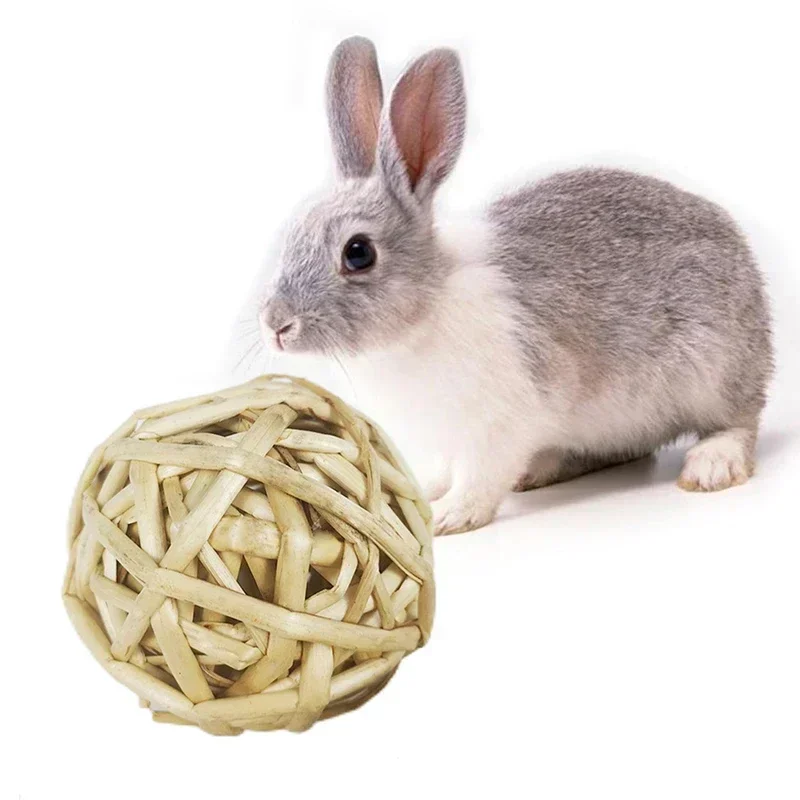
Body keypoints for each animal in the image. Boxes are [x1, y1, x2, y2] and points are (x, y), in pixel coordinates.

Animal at [251, 36, 773, 535]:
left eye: (358, 253)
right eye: (292, 234)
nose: (276, 324)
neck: (426, 309)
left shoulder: (499, 423)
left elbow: (480, 477)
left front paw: (451, 517)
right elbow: (447, 469)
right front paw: (427, 491)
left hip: (712, 372)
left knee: (740, 422)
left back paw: (711, 466)